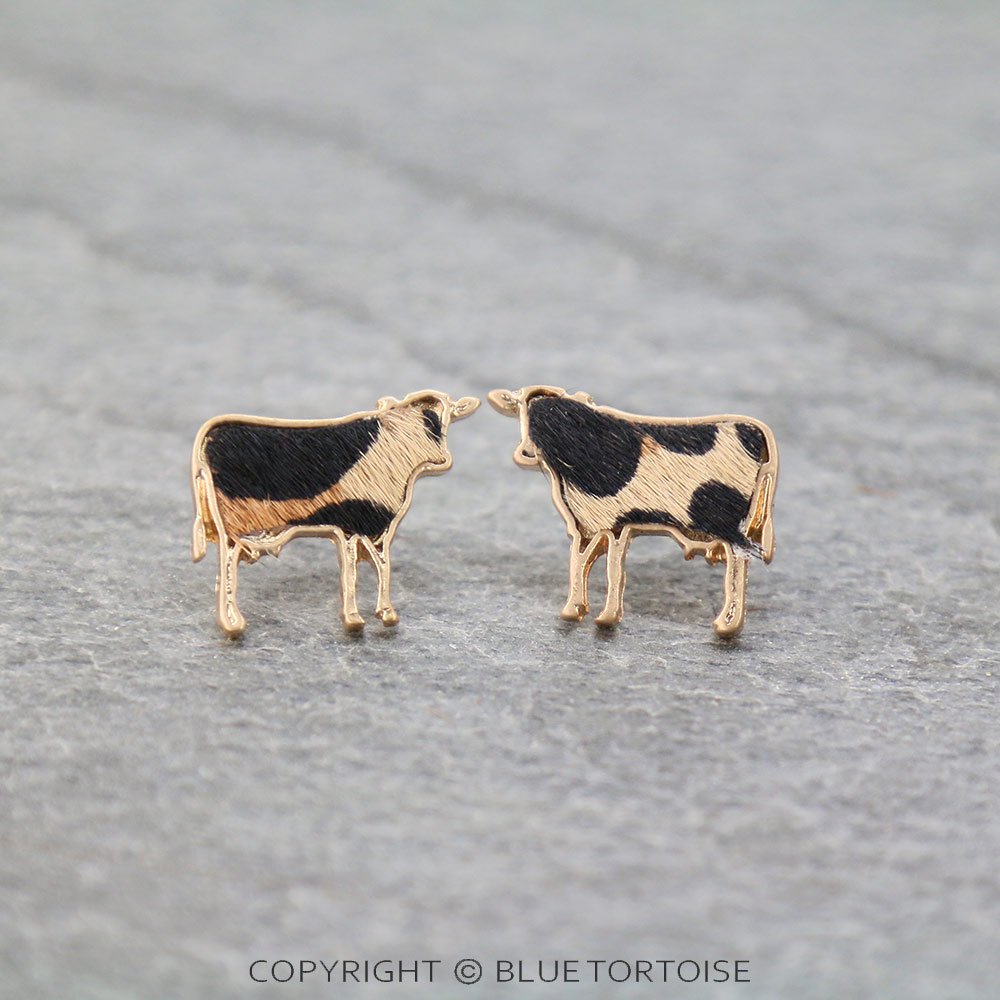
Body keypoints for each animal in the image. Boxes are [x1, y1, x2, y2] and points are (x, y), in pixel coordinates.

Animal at [191, 391, 480, 637]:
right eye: (427, 421)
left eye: (445, 418)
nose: (444, 459)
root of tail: (209, 437)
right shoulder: (358, 523)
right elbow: (358, 570)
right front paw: (357, 618)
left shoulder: (368, 527)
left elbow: (375, 566)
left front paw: (382, 613)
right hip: (233, 526)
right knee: (227, 563)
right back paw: (233, 622)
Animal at [488, 386, 778, 637]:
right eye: (522, 412)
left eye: (551, 419)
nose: (524, 453)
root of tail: (756, 430)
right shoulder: (587, 526)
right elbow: (580, 563)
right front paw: (574, 609)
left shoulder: (614, 526)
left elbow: (613, 570)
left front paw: (606, 617)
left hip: (728, 523)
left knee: (738, 562)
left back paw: (727, 623)